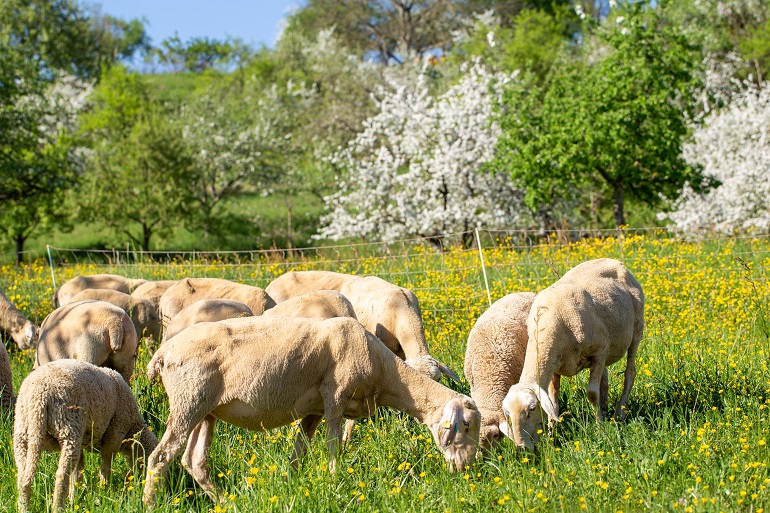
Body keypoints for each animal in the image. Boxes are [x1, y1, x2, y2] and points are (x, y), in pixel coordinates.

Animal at [14, 359, 158, 512]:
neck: (132, 429)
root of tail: (39, 396)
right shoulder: (113, 436)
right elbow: (105, 466)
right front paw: (104, 492)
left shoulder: (83, 443)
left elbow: (78, 471)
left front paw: (75, 497)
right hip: (68, 426)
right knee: (61, 475)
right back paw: (58, 507)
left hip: (22, 431)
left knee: (23, 475)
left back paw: (23, 507)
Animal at [142, 316, 480, 506]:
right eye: (464, 425)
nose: (466, 469)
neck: (385, 373)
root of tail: (162, 354)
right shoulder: (335, 397)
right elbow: (334, 448)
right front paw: (334, 484)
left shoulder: (313, 411)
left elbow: (297, 455)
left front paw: (291, 487)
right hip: (189, 400)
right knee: (160, 458)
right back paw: (150, 504)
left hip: (205, 411)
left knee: (194, 461)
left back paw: (227, 502)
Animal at [502, 258, 644, 452]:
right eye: (508, 413)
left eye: (531, 408)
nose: (521, 448)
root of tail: (614, 261)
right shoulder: (554, 367)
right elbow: (553, 404)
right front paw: (551, 436)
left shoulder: (600, 351)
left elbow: (592, 393)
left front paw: (599, 428)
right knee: (605, 382)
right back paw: (605, 410)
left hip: (637, 330)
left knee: (630, 372)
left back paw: (619, 412)